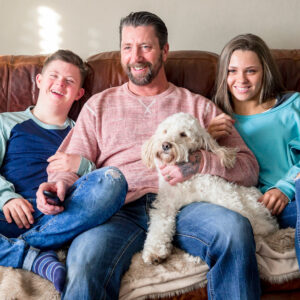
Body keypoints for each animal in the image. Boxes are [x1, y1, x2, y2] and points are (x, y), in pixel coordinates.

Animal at [142, 112, 278, 264]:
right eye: (165, 131)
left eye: (183, 134)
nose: (165, 145)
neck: (187, 183)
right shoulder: (165, 204)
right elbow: (159, 226)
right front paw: (154, 252)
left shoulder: (225, 194)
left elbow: (242, 212)